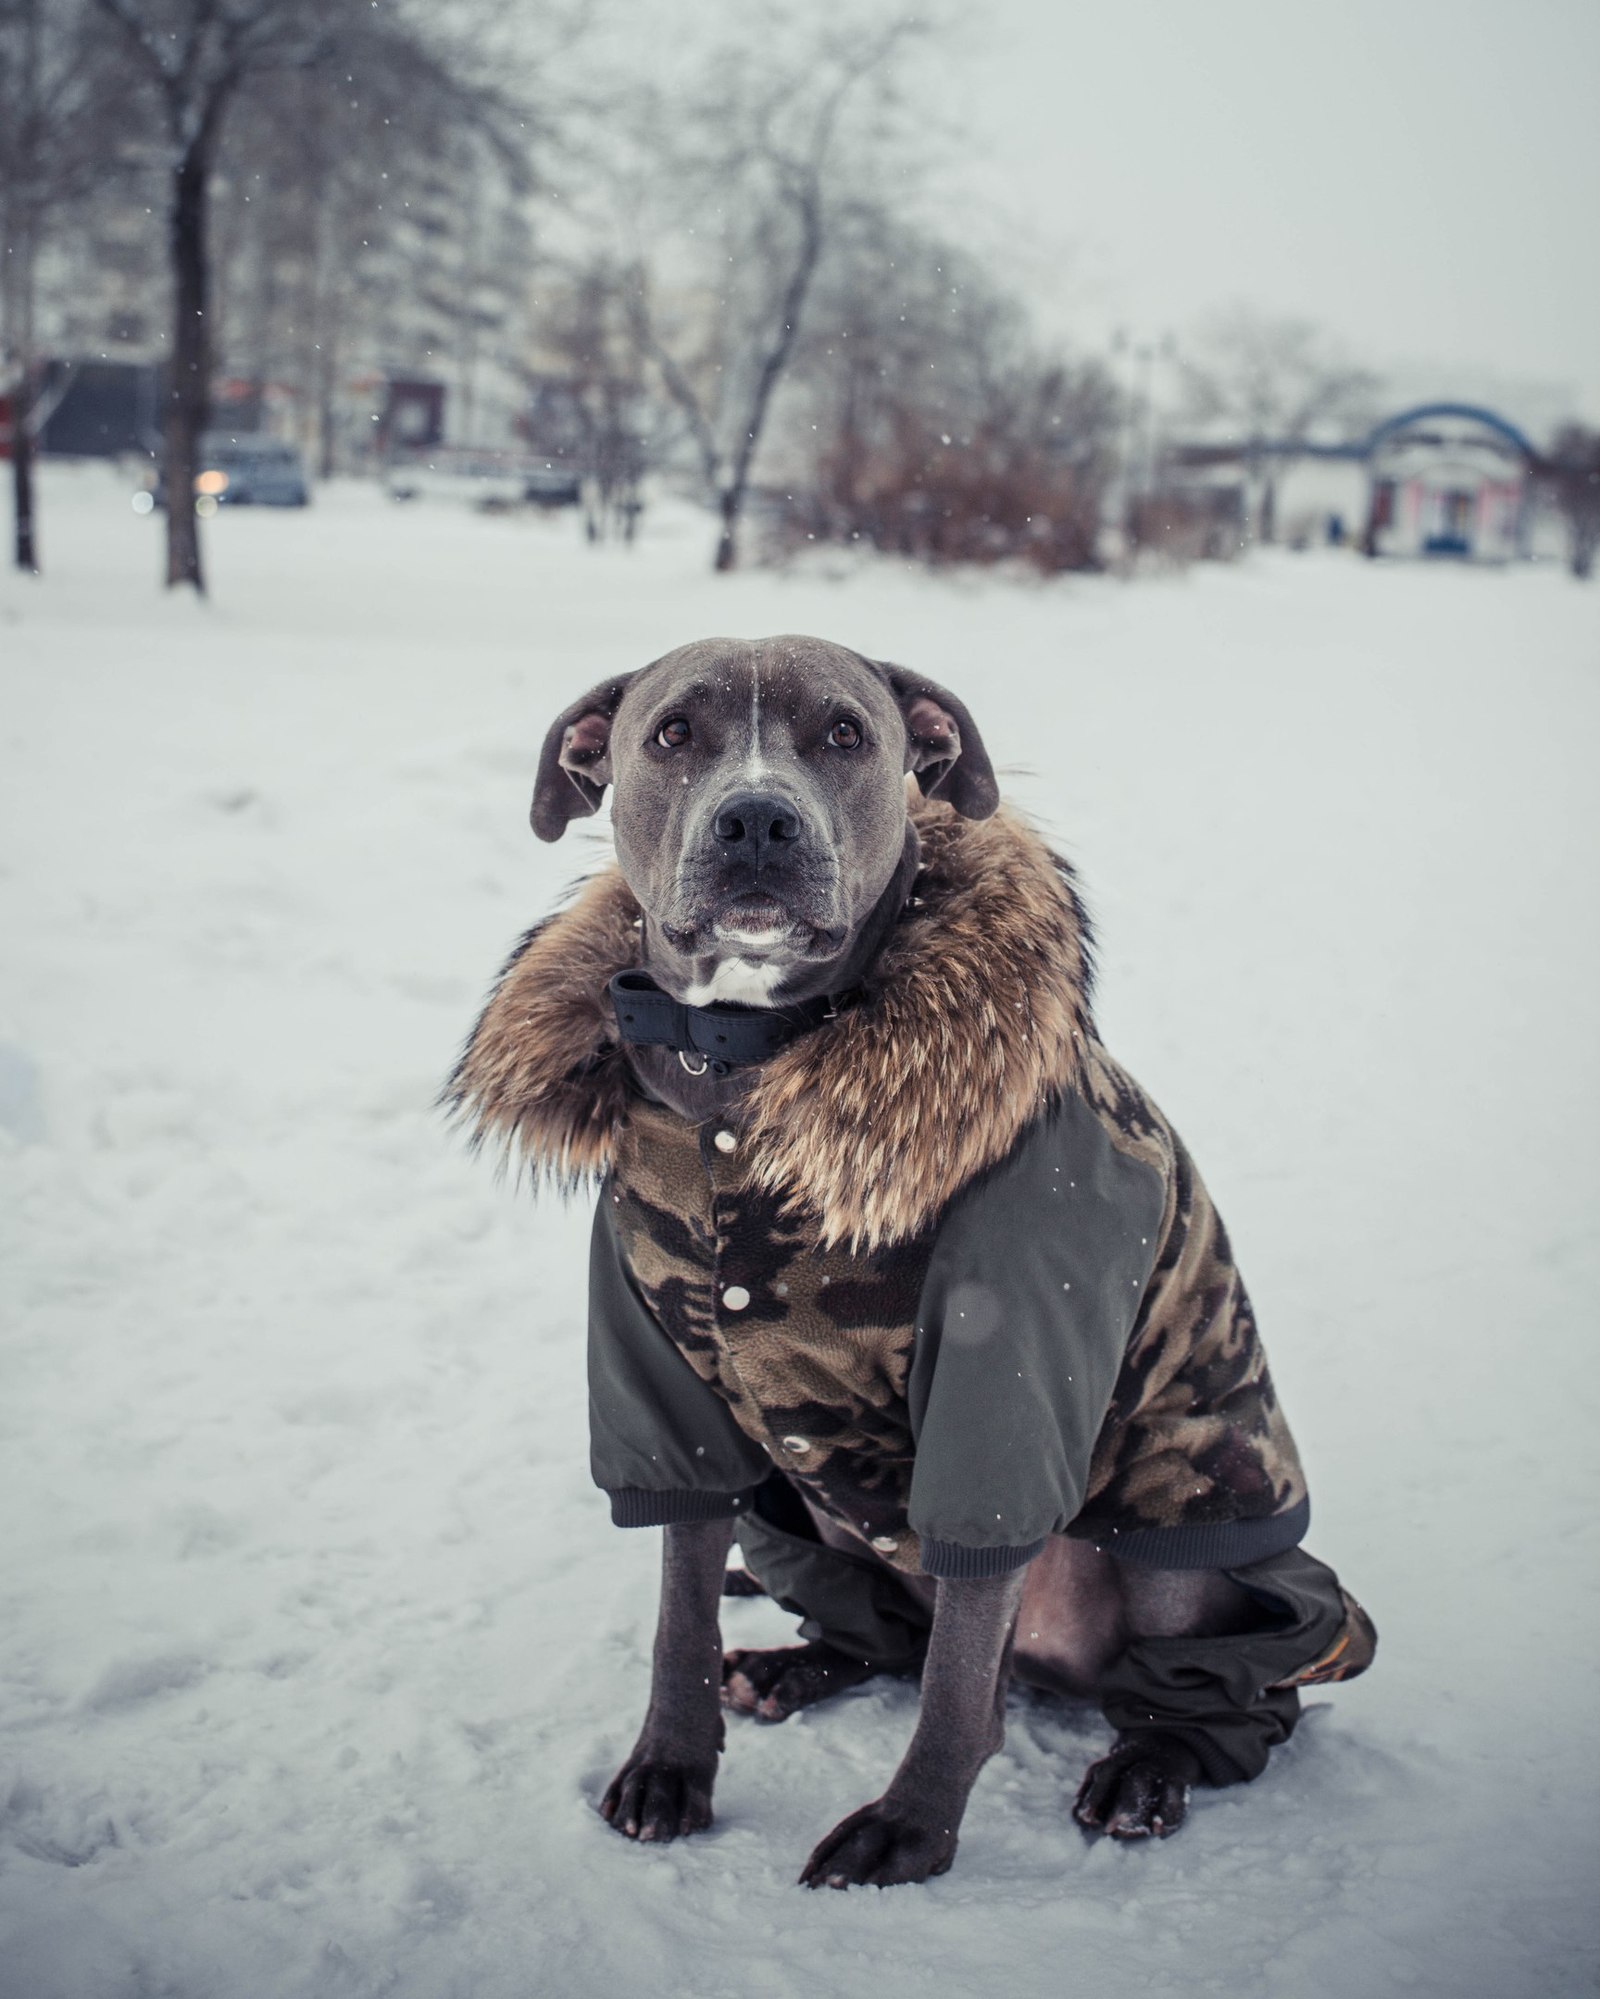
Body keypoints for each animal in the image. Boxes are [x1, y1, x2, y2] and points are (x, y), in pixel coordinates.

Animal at [450, 635, 1376, 1887]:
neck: (747, 1058)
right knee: (887, 1637)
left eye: (845, 732)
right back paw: (791, 1665)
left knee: (1226, 1698)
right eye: (672, 732)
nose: (756, 819)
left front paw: (912, 1828)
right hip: (788, 1510)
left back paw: (1149, 1765)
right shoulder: (662, 1384)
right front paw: (669, 1767)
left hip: (1177, 1540)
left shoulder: (1000, 1387)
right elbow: (680, 1610)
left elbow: (959, 1670)